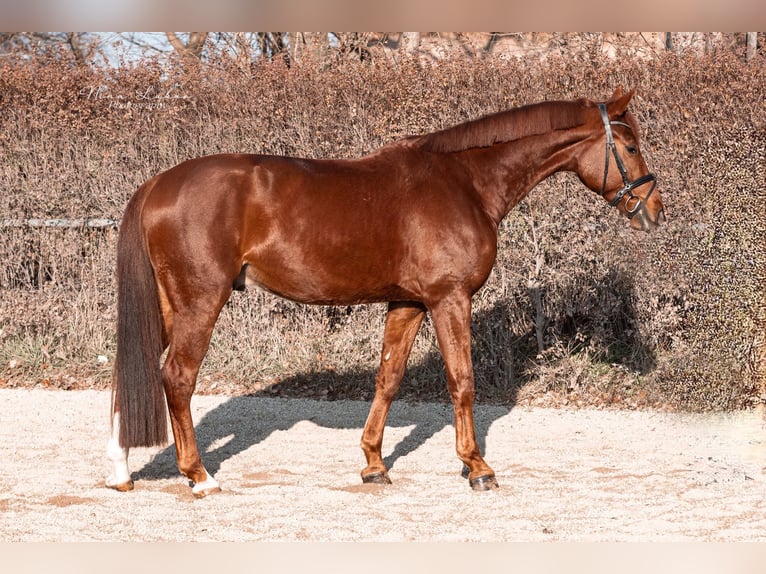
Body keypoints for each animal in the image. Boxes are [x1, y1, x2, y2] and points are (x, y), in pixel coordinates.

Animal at [106, 88, 664, 498]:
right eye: (631, 146)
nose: (654, 212)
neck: (465, 182)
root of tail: (157, 184)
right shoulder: (448, 299)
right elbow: (462, 381)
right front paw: (477, 467)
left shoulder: (409, 303)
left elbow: (388, 379)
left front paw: (374, 464)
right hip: (200, 301)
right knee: (177, 379)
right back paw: (199, 477)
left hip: (167, 306)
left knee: (128, 375)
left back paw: (120, 471)